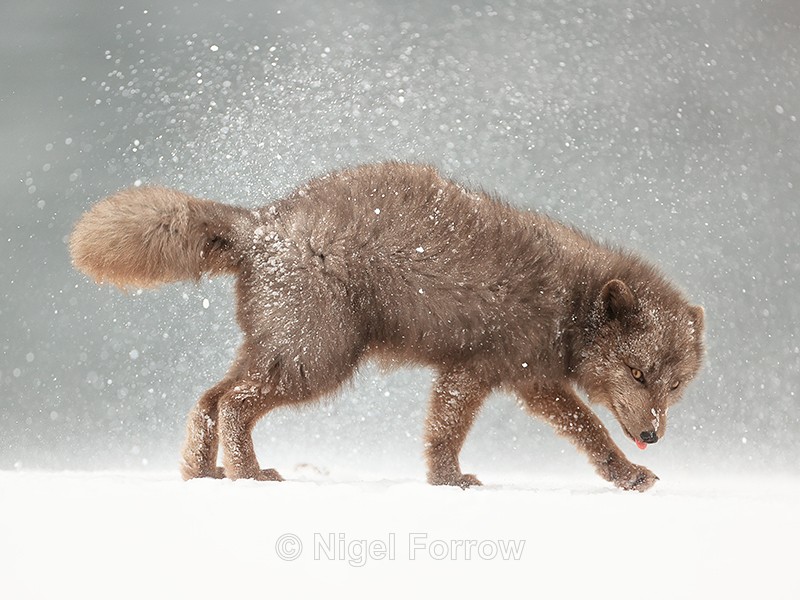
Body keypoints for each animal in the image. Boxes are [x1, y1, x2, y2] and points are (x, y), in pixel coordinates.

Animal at [70, 162, 705, 491]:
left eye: (673, 386)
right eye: (637, 372)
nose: (653, 434)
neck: (569, 302)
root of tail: (262, 222)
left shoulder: (512, 378)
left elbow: (574, 432)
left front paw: (626, 474)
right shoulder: (491, 372)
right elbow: (569, 430)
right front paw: (450, 481)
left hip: (279, 350)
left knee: (207, 398)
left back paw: (205, 475)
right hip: (317, 361)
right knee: (231, 403)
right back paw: (250, 475)